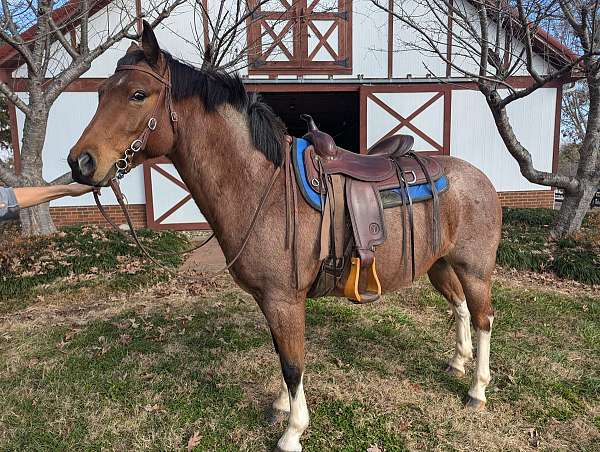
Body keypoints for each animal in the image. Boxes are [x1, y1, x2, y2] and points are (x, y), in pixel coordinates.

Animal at [68, 23, 502, 452]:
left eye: (138, 94)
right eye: (101, 93)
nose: (81, 162)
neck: (265, 187)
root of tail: (481, 177)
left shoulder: (284, 299)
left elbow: (293, 364)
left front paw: (292, 431)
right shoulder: (271, 300)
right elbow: (283, 355)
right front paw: (280, 406)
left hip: (475, 270)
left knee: (483, 318)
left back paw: (477, 390)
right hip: (439, 265)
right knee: (460, 308)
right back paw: (457, 362)